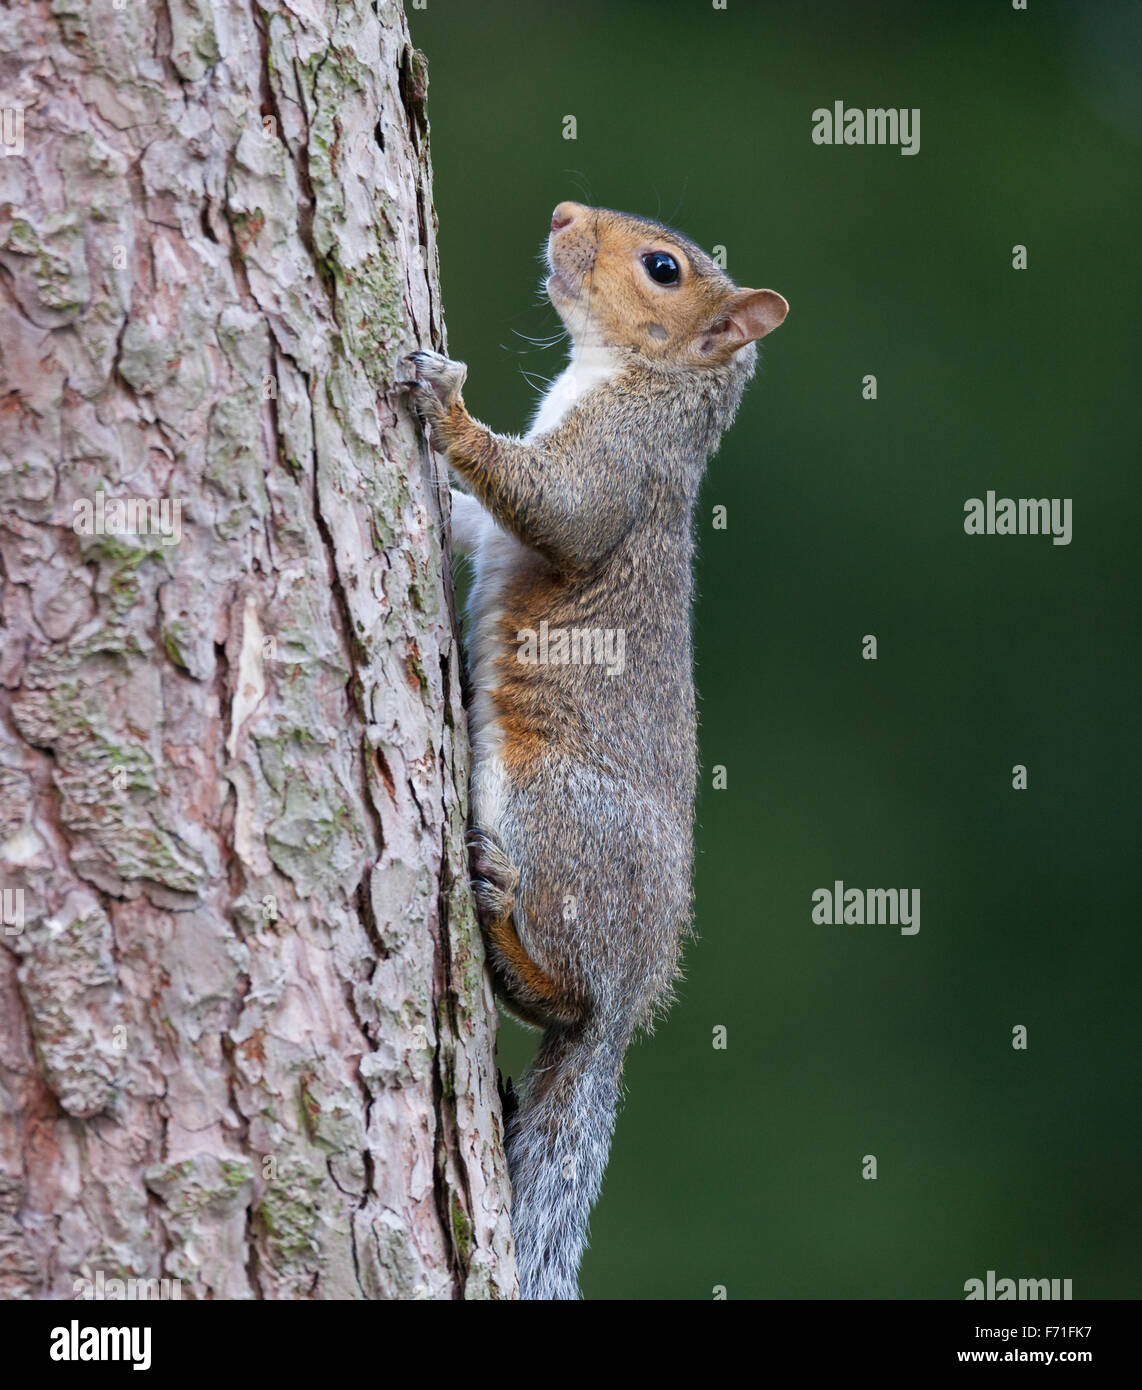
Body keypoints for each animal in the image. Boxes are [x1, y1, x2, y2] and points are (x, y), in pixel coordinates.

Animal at [402, 201, 787, 1300]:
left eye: (662, 268)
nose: (564, 215)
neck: (639, 380)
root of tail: (629, 1004)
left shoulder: (619, 466)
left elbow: (559, 510)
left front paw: (447, 409)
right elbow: (474, 519)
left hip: (555, 807)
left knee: (565, 997)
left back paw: (500, 915)